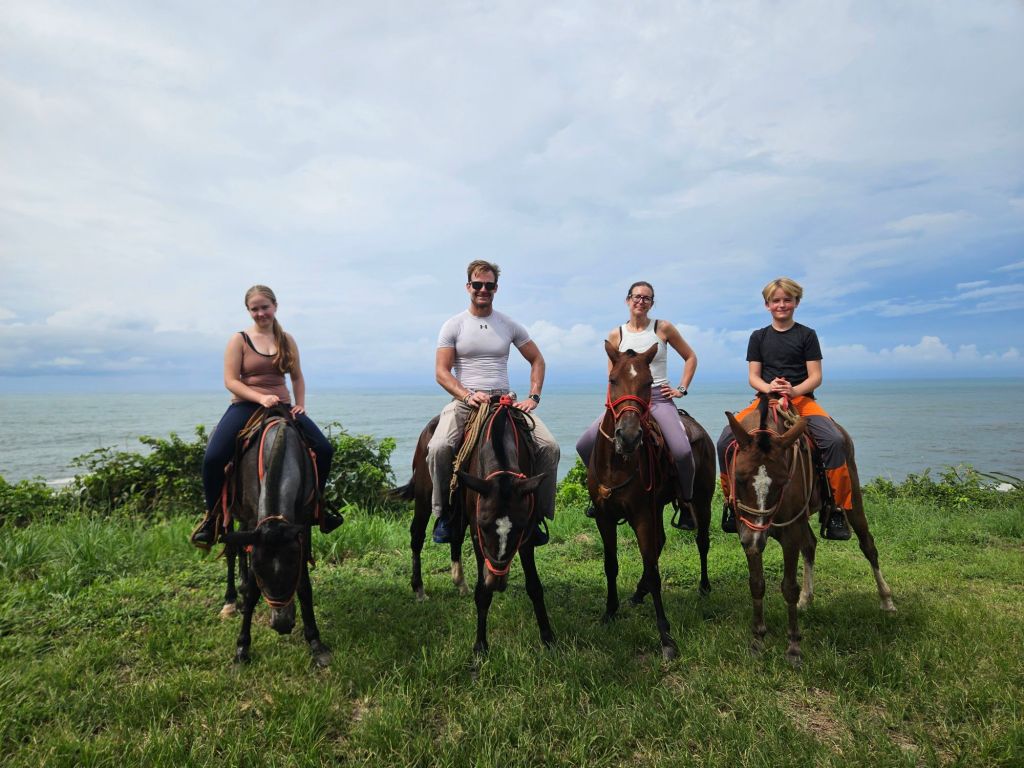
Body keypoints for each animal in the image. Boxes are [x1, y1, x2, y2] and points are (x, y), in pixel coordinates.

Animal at [217, 406, 331, 667]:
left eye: (292, 569)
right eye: (261, 573)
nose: (282, 625)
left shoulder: (302, 525)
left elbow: (304, 586)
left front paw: (315, 642)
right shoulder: (255, 524)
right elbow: (251, 590)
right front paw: (242, 649)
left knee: (240, 549)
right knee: (231, 551)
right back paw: (231, 600)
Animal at [587, 341, 715, 660]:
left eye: (648, 383)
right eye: (612, 380)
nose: (629, 436)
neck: (618, 463)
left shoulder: (642, 516)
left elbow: (655, 570)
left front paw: (665, 637)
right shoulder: (605, 518)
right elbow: (611, 564)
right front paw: (610, 612)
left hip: (702, 501)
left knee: (702, 541)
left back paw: (704, 586)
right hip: (657, 506)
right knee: (659, 544)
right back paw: (638, 593)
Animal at [724, 394, 896, 667]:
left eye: (782, 481)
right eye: (739, 478)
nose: (755, 540)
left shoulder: (789, 535)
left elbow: (788, 587)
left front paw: (794, 647)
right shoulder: (749, 533)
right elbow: (757, 583)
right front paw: (758, 640)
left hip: (853, 496)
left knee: (868, 545)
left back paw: (886, 600)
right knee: (811, 545)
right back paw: (807, 598)